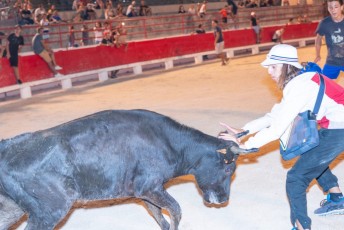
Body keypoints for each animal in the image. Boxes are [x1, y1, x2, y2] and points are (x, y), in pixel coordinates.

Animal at [0, 109, 256, 230]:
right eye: (228, 170)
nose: (223, 199)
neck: (169, 142)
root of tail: (8, 146)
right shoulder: (150, 188)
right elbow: (175, 210)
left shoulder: (145, 192)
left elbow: (161, 217)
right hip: (50, 210)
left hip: (13, 209)